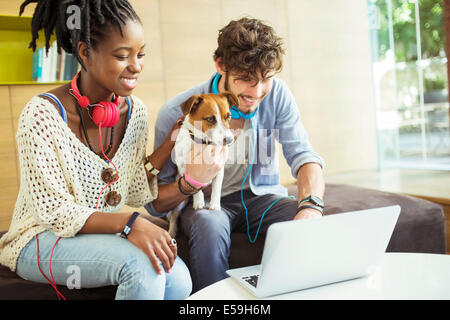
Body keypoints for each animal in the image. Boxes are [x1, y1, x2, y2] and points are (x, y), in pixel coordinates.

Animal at [168, 91, 237, 236]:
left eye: (228, 116)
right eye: (210, 119)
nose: (229, 140)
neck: (203, 142)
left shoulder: (219, 169)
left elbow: (216, 188)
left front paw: (215, 204)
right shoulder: (184, 167)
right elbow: (195, 185)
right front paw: (199, 200)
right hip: (178, 203)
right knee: (174, 215)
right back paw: (171, 232)